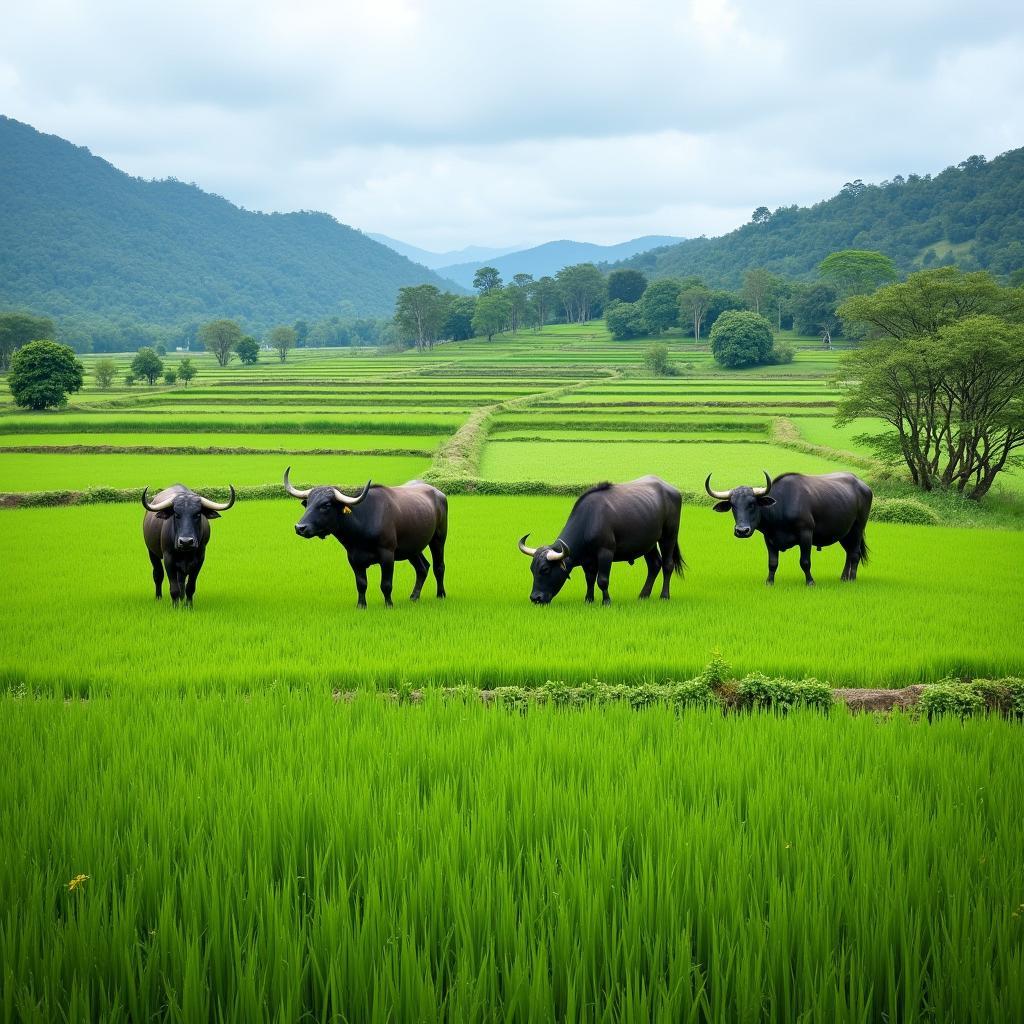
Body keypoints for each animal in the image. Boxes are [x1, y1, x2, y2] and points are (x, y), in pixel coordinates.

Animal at [286, 466, 450, 602]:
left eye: (325, 505)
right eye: (308, 503)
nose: (300, 527)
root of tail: (439, 493)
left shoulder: (387, 555)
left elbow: (386, 585)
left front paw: (389, 605)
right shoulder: (353, 559)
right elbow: (361, 584)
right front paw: (361, 605)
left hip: (438, 539)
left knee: (439, 567)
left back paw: (441, 594)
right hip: (412, 548)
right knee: (422, 568)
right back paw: (414, 596)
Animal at [516, 475, 684, 602]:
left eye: (545, 569)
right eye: (532, 569)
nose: (535, 598)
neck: (589, 520)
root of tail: (673, 490)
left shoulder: (605, 553)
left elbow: (602, 580)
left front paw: (606, 601)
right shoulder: (587, 560)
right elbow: (590, 579)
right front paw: (589, 599)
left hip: (669, 536)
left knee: (667, 564)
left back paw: (664, 596)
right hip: (649, 543)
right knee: (654, 565)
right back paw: (643, 595)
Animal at [704, 468, 872, 585]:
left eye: (752, 504)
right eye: (733, 505)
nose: (742, 531)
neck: (781, 506)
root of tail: (864, 486)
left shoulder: (806, 534)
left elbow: (805, 561)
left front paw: (810, 582)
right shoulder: (769, 539)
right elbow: (772, 563)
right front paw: (769, 582)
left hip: (858, 528)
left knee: (855, 553)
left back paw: (852, 579)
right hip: (845, 533)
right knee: (848, 553)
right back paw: (843, 578)